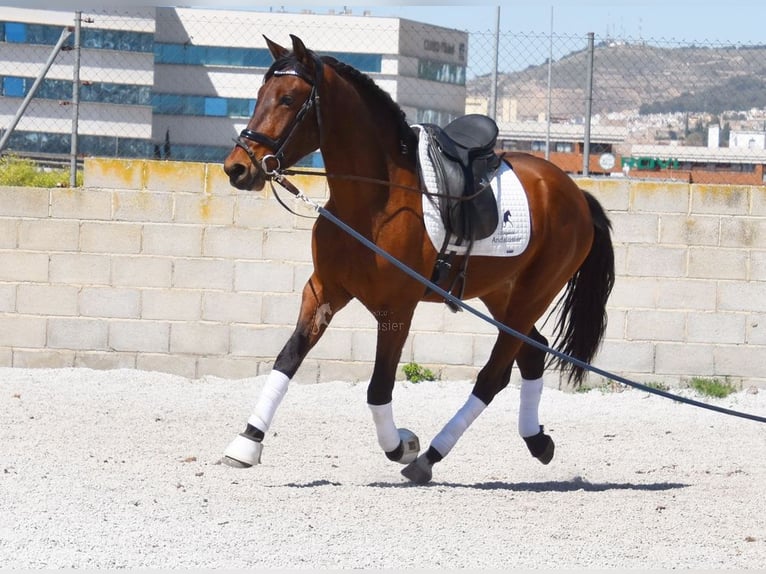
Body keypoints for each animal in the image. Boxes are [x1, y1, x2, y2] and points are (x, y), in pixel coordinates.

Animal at [222, 34, 615, 484]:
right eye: (258, 96)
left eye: (287, 98)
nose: (236, 168)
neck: (374, 200)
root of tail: (575, 193)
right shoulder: (322, 291)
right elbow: (288, 358)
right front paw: (247, 441)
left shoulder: (396, 309)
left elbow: (378, 388)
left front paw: (401, 445)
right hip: (501, 293)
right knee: (533, 351)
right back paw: (536, 440)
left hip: (533, 294)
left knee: (493, 375)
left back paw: (430, 456)